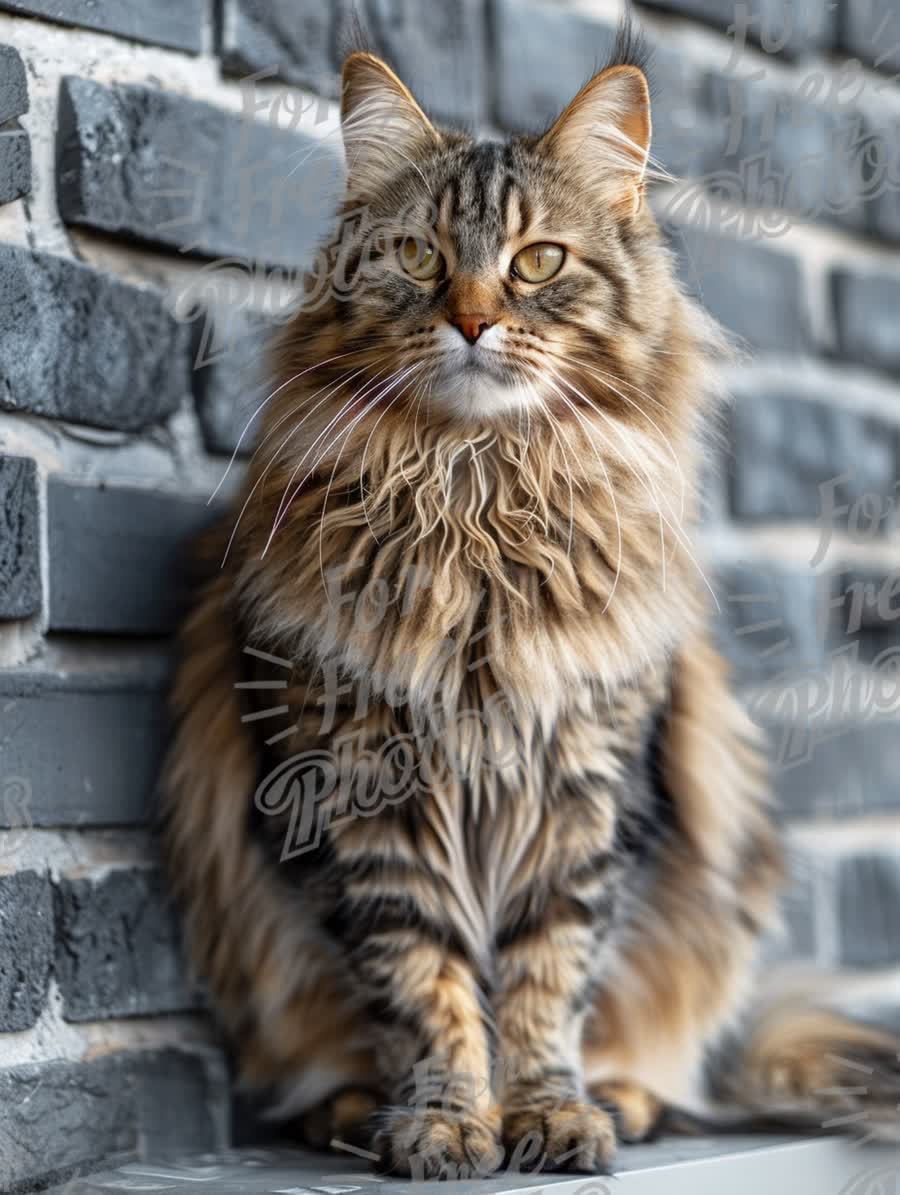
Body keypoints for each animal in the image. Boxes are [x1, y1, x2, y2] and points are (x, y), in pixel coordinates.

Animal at [160, 18, 898, 1175]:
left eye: (536, 261)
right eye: (420, 256)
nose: (469, 321)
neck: (476, 495)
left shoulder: (586, 786)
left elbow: (550, 981)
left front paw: (550, 1112)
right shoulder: (362, 792)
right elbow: (424, 984)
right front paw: (446, 1120)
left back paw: (623, 1098)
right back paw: (353, 1115)